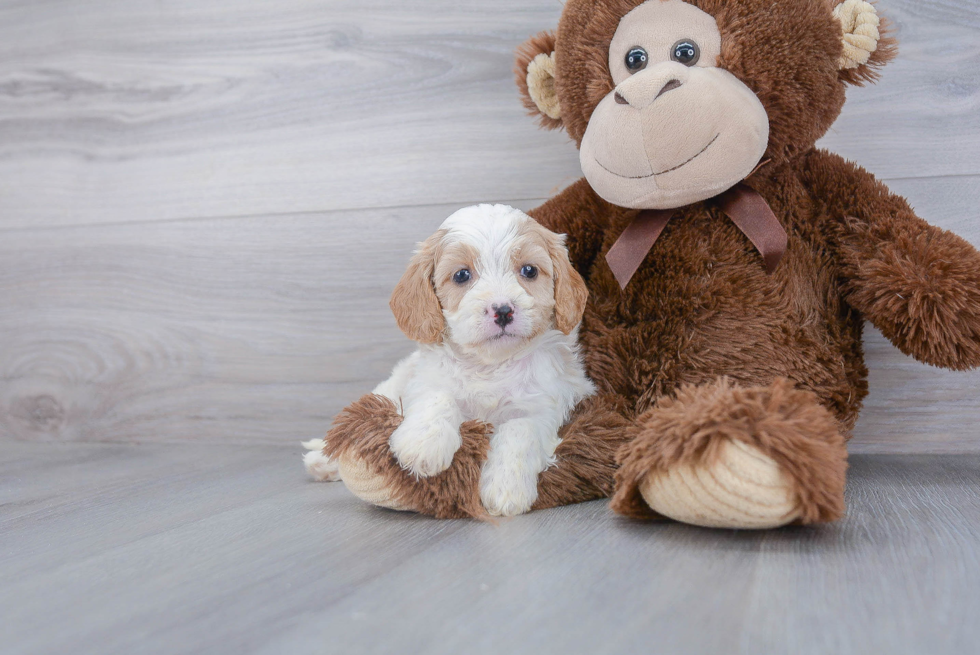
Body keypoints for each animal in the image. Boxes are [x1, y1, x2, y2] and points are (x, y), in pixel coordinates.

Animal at [304, 205, 596, 516]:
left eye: (529, 270)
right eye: (461, 275)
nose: (503, 310)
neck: (491, 365)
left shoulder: (545, 405)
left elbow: (520, 429)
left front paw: (507, 487)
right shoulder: (426, 379)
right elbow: (438, 396)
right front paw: (423, 445)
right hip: (391, 386)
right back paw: (323, 460)